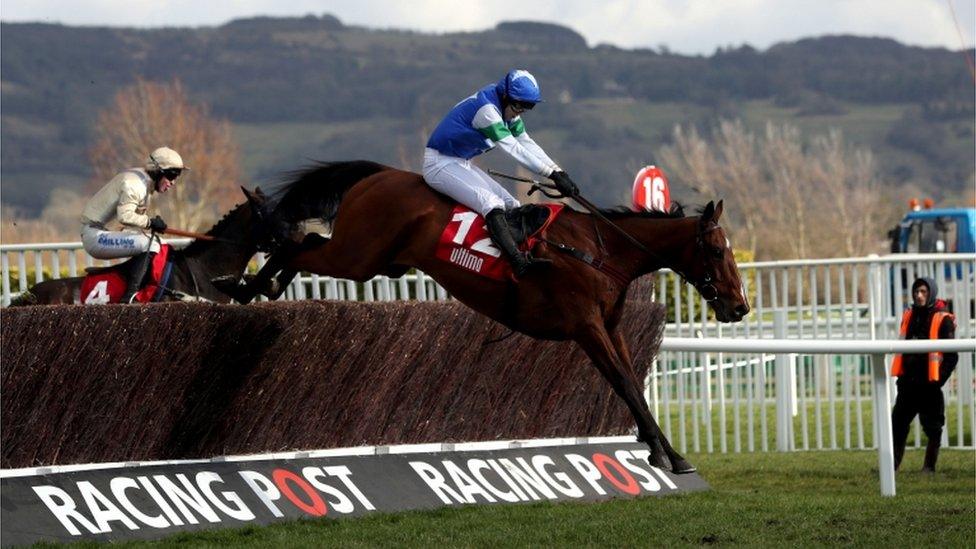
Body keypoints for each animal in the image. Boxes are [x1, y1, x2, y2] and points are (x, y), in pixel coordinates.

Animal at [242, 161, 748, 474]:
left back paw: (262, 284)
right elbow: (623, 382)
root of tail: (379, 176)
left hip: (376, 261)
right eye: (716, 250)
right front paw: (664, 455)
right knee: (301, 244)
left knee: (306, 243)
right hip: (356, 256)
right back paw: (248, 285)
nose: (740, 306)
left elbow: (632, 383)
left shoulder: (611, 327)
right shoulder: (585, 326)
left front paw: (668, 452)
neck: (598, 252)